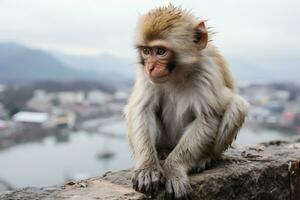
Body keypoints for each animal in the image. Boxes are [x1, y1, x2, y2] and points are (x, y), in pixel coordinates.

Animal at [123, 4, 250, 200]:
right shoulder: (146, 78)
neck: (177, 74)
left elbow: (207, 117)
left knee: (237, 106)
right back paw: (162, 153)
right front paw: (147, 168)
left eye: (160, 51)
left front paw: (174, 169)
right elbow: (141, 110)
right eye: (146, 51)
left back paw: (205, 158)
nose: (150, 67)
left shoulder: (206, 72)